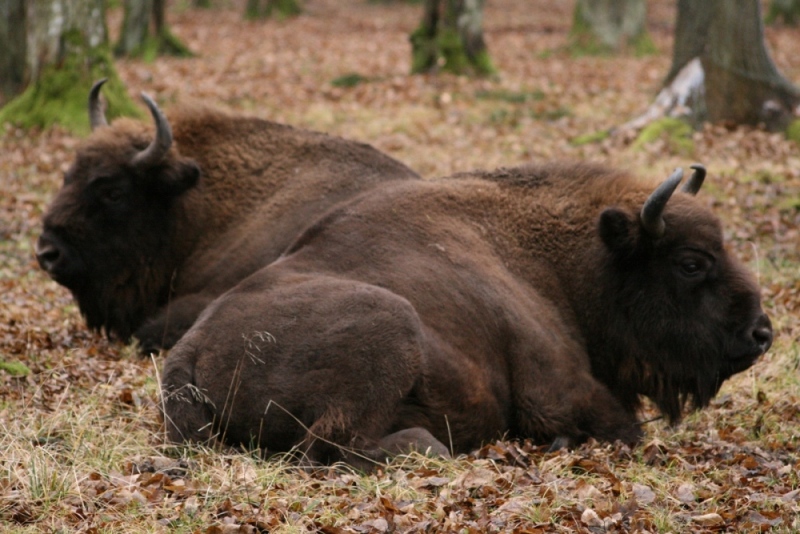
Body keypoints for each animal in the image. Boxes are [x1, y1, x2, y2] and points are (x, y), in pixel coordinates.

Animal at [161, 163, 768, 468]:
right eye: (691, 262)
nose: (761, 333)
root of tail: (187, 351)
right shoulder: (557, 392)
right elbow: (623, 428)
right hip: (393, 325)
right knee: (330, 448)